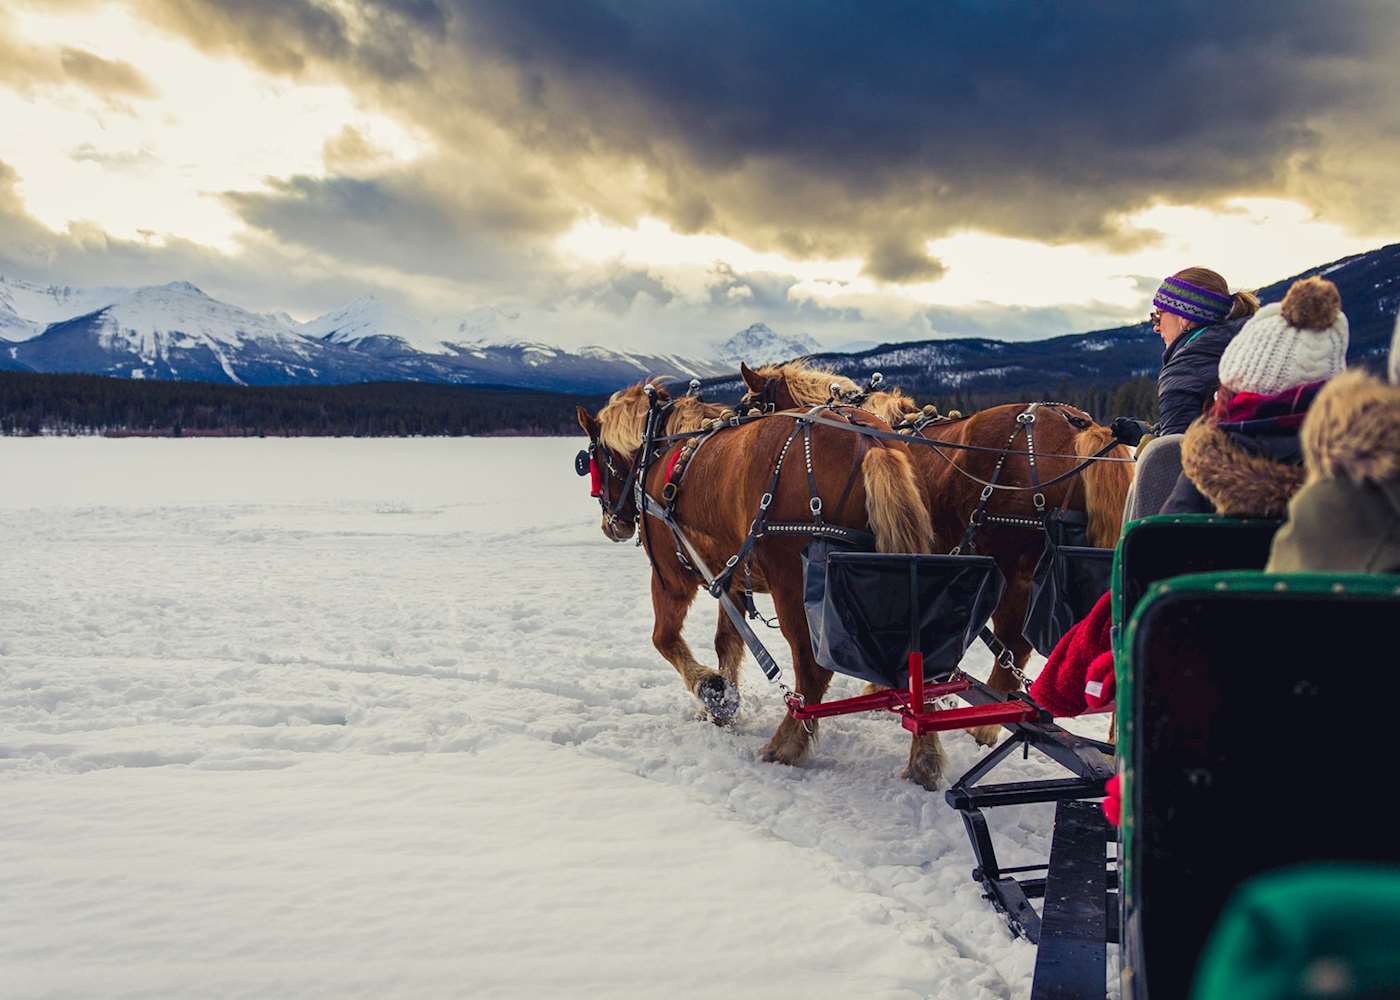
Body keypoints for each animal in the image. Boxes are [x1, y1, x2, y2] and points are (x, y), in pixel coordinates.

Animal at [568, 380, 963, 784]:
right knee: (918, 664)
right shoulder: (730, 579)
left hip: (792, 586)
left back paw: (786, 744)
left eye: (592, 460)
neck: (661, 448)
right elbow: (726, 641)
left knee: (812, 670)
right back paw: (924, 759)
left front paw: (711, 689)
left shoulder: (670, 575)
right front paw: (723, 705)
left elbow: (663, 638)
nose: (611, 525)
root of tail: (871, 443)